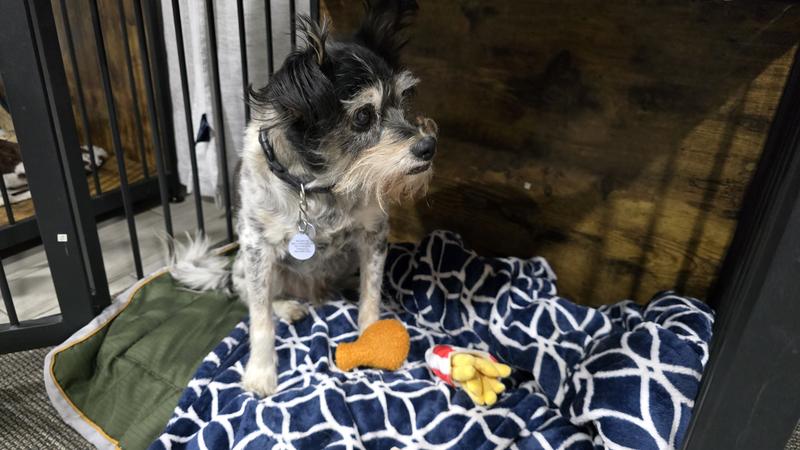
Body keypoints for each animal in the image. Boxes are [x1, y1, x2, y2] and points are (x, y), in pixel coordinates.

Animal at [170, 0, 437, 396]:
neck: (320, 186)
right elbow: (259, 319)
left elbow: (371, 295)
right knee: (250, 294)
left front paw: (372, 335)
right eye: (362, 116)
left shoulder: (374, 235)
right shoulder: (256, 247)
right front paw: (261, 372)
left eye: (404, 100)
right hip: (245, 267)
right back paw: (287, 307)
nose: (428, 147)